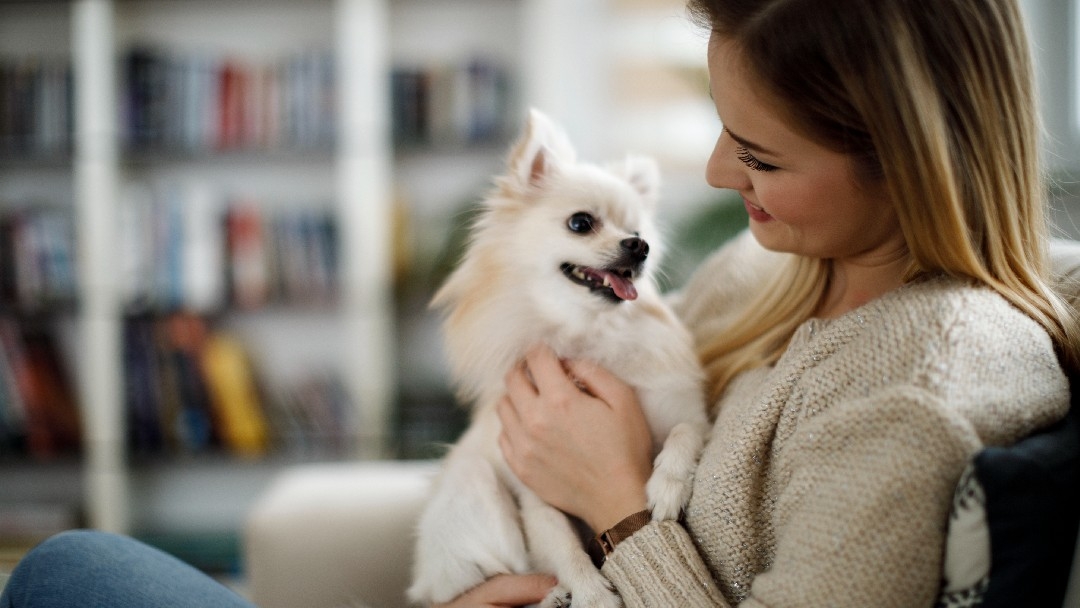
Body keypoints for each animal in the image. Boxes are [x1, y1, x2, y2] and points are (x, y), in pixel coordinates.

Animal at [406, 109, 708, 608]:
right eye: (581, 223)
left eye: (639, 233)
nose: (639, 247)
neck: (585, 332)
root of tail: (427, 584)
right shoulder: (535, 491)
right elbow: (561, 545)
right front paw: (592, 593)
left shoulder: (682, 412)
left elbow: (687, 432)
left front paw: (667, 486)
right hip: (476, 486)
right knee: (504, 572)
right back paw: (551, 596)